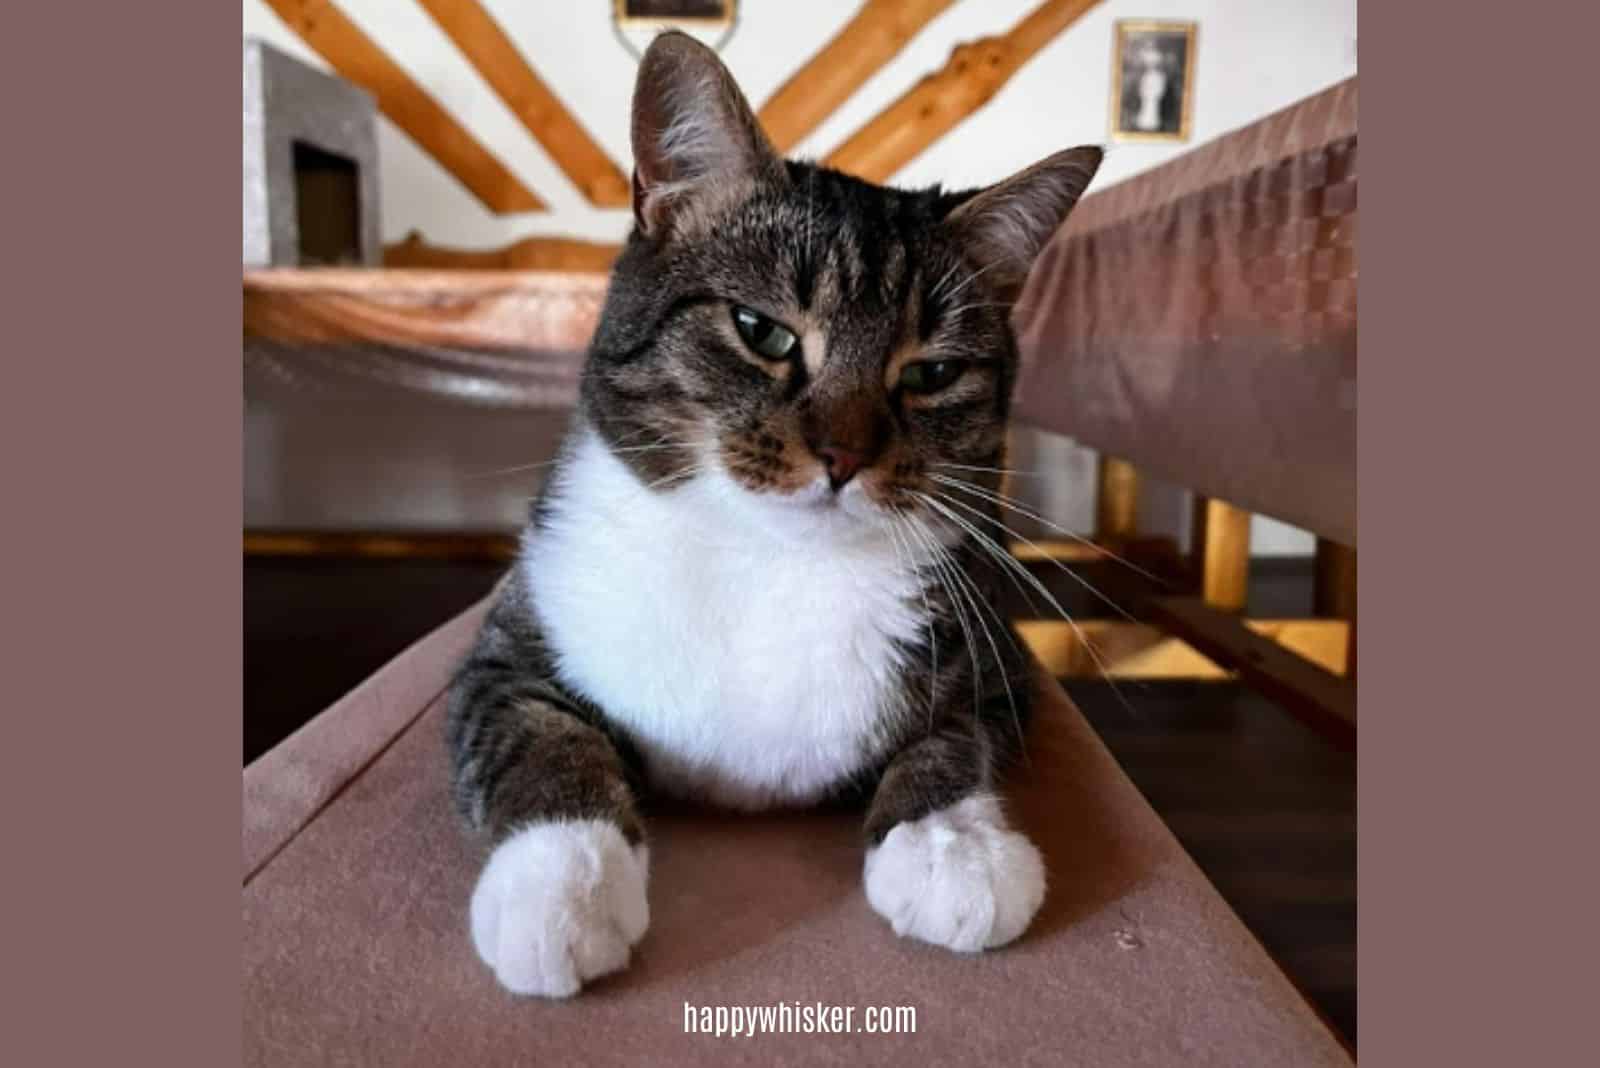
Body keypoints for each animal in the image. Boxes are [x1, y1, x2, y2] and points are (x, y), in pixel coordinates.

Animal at [448, 33, 1100, 1004]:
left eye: (932, 373)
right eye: (762, 330)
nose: (843, 455)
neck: (768, 565)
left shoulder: (1000, 662)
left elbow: (957, 739)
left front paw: (954, 847)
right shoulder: (506, 648)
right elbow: (541, 736)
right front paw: (563, 886)